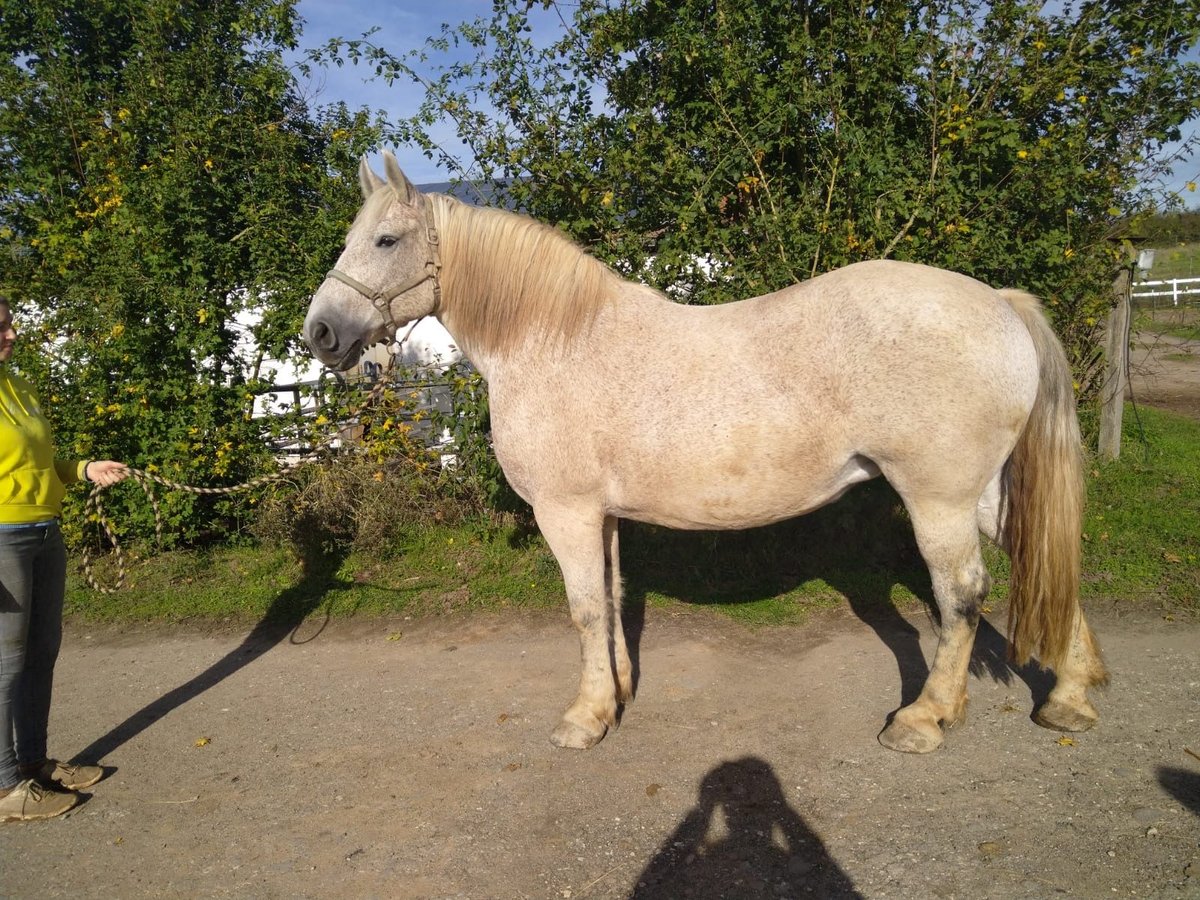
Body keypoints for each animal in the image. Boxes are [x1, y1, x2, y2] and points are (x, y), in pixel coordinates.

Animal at [304, 153, 1108, 753]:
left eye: (385, 241)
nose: (321, 334)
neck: (553, 340)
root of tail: (1000, 304)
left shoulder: (566, 513)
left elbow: (584, 609)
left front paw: (583, 720)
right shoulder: (603, 516)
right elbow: (612, 598)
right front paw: (617, 696)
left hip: (937, 499)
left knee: (962, 595)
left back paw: (925, 719)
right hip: (984, 491)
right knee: (1041, 555)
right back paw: (1068, 698)